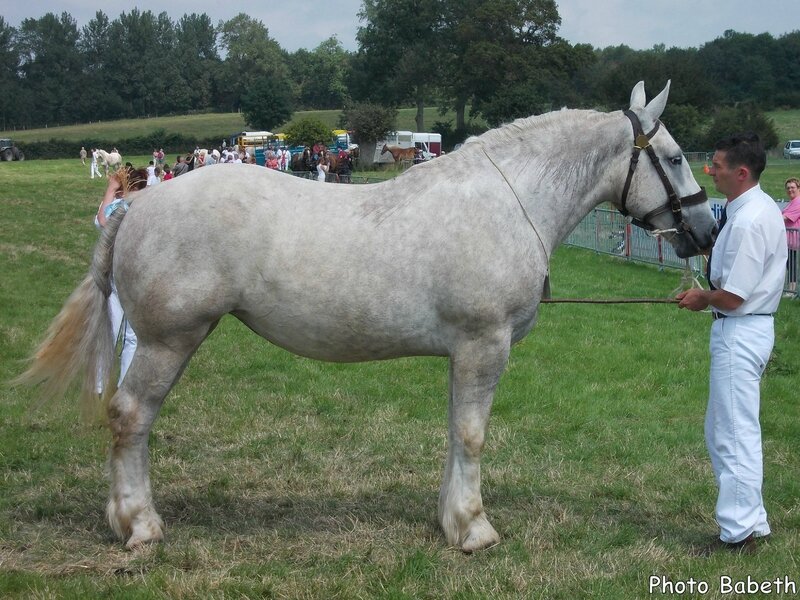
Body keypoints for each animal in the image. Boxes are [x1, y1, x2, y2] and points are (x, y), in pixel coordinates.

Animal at [20, 81, 720, 552]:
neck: (507, 201)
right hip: (168, 340)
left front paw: (451, 519)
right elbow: (473, 435)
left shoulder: (465, 353)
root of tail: (136, 206)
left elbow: (455, 433)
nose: (708, 229)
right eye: (677, 157)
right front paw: (475, 530)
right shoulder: (485, 344)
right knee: (130, 417)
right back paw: (139, 525)